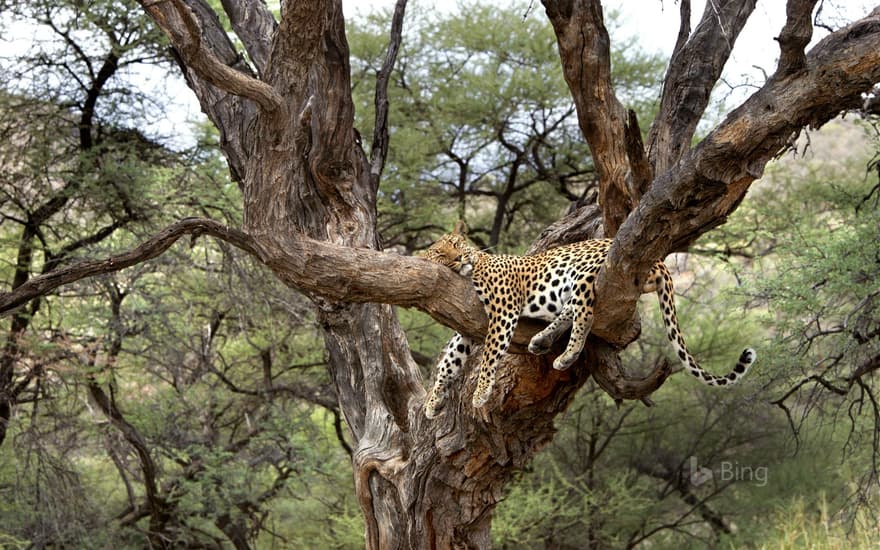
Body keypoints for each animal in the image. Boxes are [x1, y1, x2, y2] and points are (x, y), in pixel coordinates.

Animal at [422, 222, 756, 420]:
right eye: (440, 253)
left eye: (456, 244)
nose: (458, 258)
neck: (473, 267)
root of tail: (659, 261)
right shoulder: (467, 328)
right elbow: (449, 361)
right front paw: (432, 401)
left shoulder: (503, 311)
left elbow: (490, 354)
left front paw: (480, 393)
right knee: (571, 310)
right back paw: (542, 340)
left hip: (583, 272)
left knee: (584, 313)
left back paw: (567, 354)